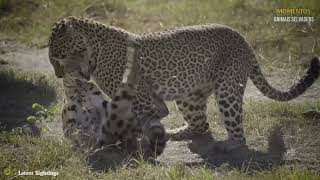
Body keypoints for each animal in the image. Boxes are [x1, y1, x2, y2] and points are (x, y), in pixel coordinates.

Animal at [48, 16, 318, 152]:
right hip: (189, 96)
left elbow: (140, 119)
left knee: (238, 134)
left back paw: (228, 147)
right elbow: (153, 114)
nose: (59, 76)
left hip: (228, 90)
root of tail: (244, 40)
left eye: (56, 55)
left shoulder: (137, 98)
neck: (94, 51)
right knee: (201, 124)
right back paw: (177, 132)